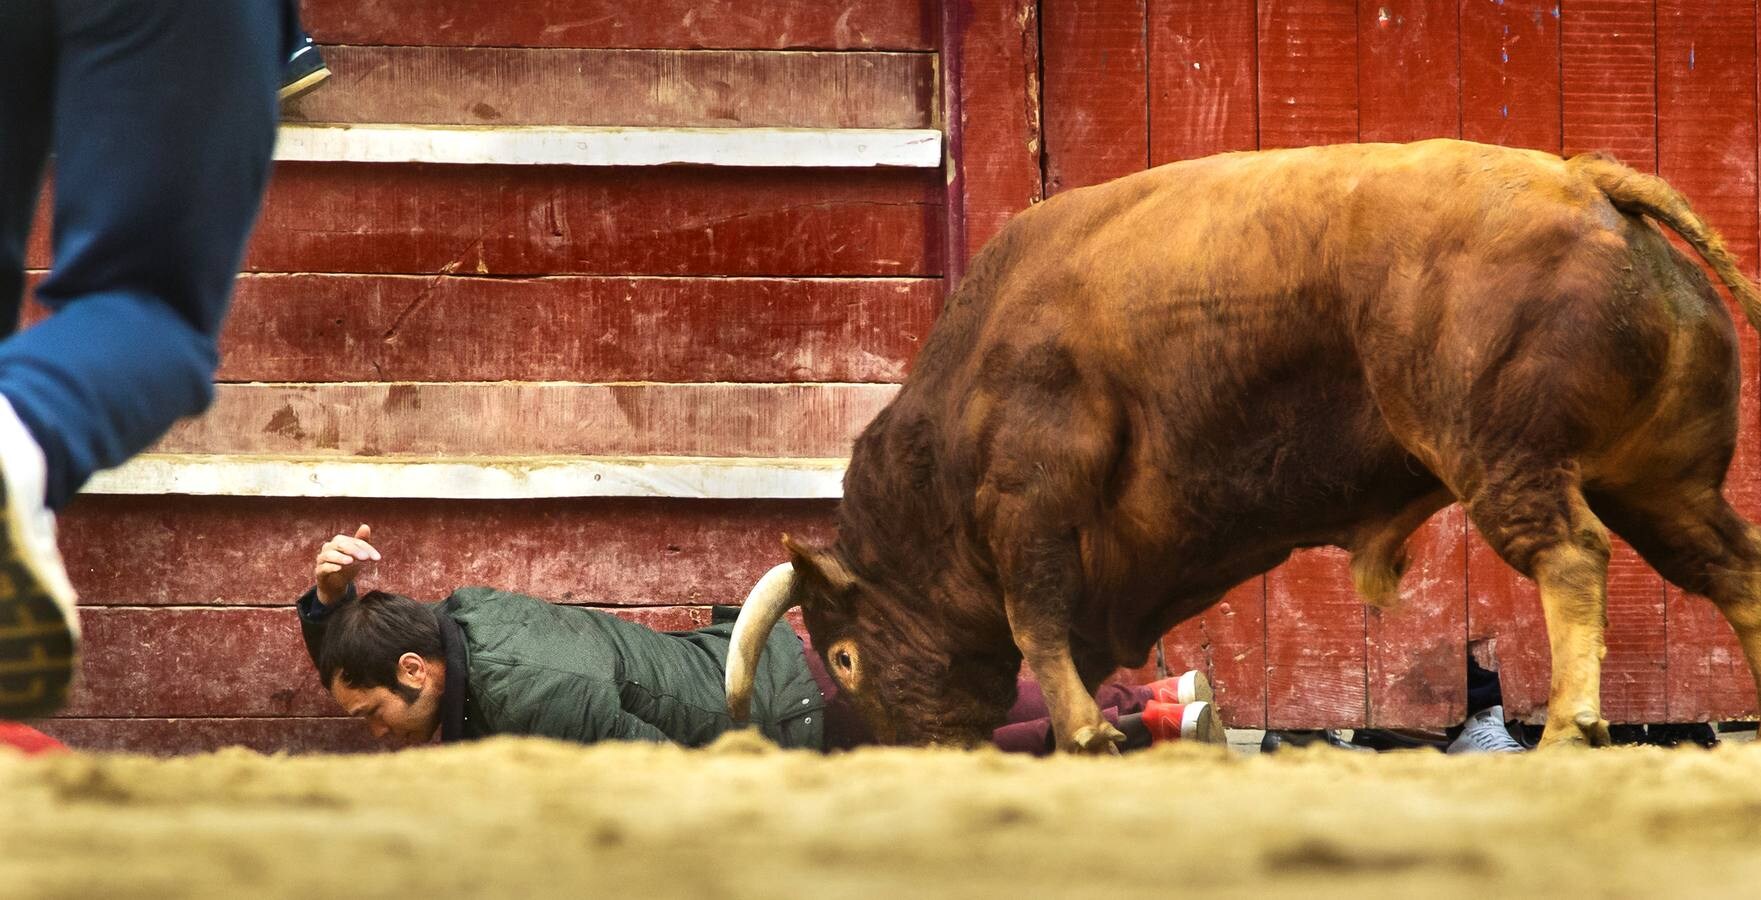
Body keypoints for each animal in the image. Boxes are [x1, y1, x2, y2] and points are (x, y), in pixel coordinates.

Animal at [725, 139, 1761, 753]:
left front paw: (1084, 736)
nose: (928, 755)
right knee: (1731, 567)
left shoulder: (1032, 506)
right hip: (1660, 480)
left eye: (845, 657)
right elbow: (1072, 642)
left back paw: (1567, 730)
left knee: (1572, 555)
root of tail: (1588, 181)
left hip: (1506, 458)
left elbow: (1036, 623)